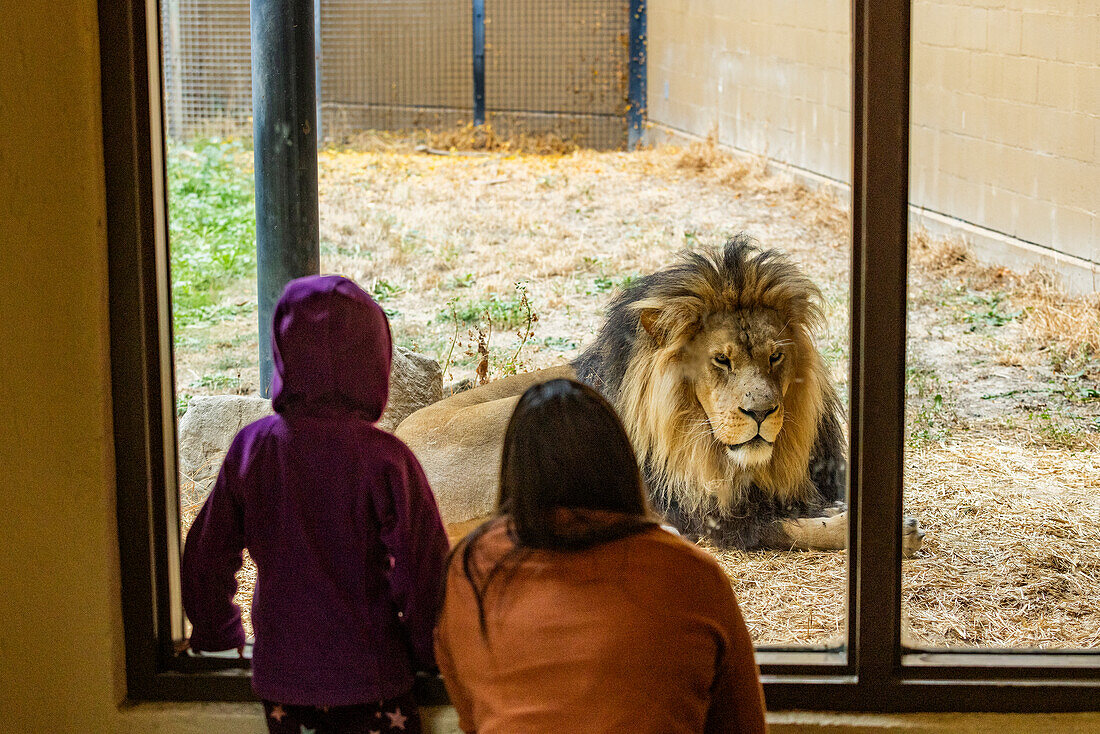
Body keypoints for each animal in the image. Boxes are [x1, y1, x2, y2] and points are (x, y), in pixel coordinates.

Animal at [400, 236, 924, 556]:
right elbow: (787, 527)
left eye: (775, 356)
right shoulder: (708, 515)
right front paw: (890, 531)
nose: (761, 412)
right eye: (721, 360)